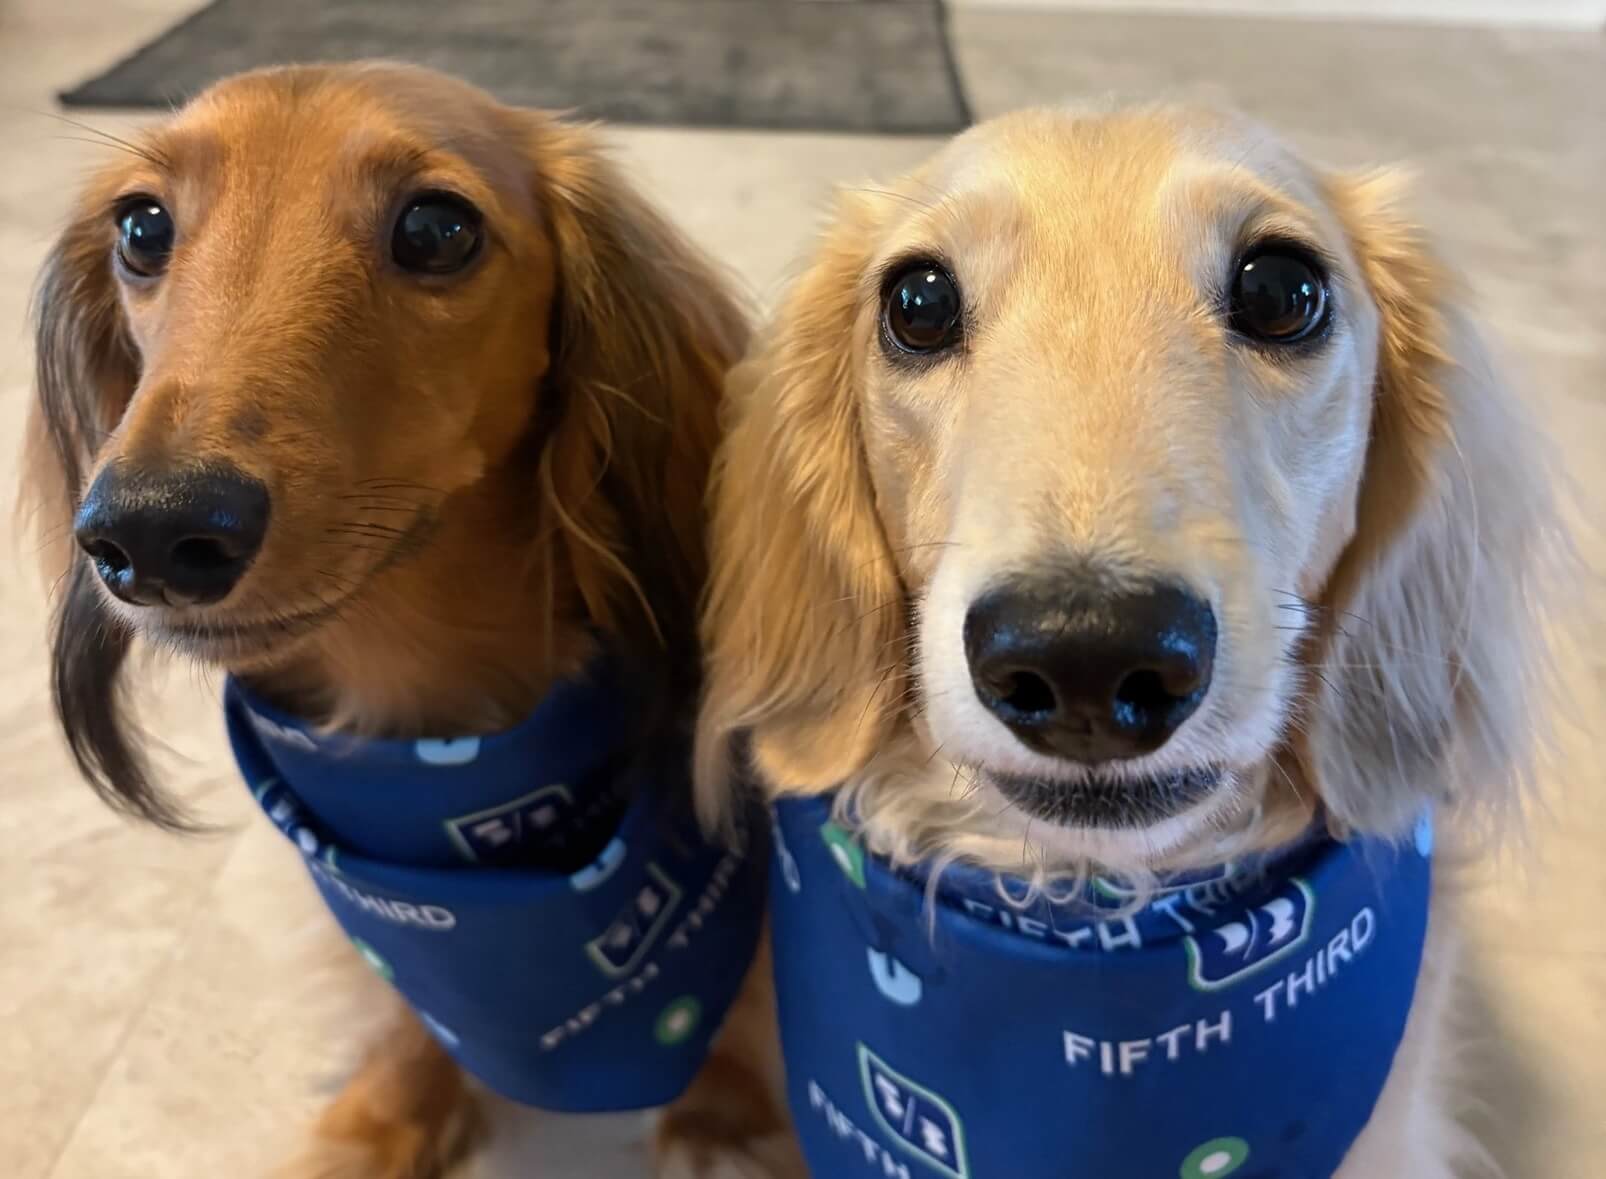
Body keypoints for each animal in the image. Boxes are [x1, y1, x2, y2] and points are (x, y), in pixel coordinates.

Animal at [25, 62, 793, 1179]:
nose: (151, 533)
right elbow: (397, 1013)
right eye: (141, 227)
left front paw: (723, 1121)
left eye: (438, 229)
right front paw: (383, 1116)